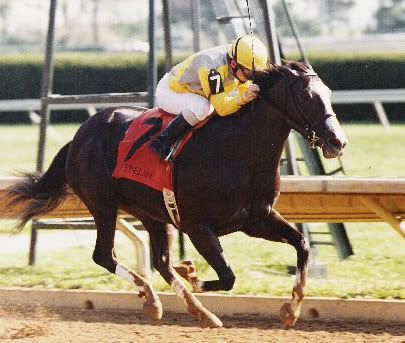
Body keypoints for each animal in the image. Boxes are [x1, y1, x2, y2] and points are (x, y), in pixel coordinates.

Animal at [3, 62, 346, 330]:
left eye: (329, 93)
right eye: (306, 96)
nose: (337, 142)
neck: (238, 151)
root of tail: (79, 136)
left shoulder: (256, 220)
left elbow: (302, 245)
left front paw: (291, 311)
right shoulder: (197, 226)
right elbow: (227, 276)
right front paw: (191, 272)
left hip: (151, 213)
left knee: (161, 262)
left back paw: (194, 311)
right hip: (103, 205)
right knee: (104, 255)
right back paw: (154, 300)